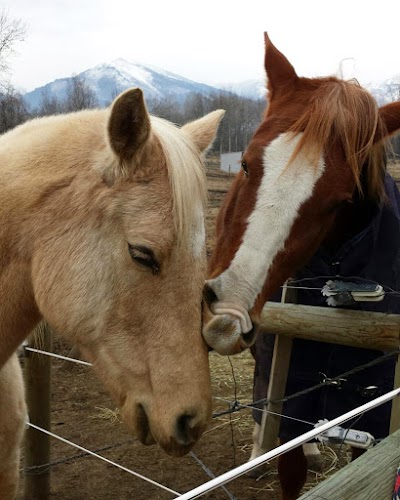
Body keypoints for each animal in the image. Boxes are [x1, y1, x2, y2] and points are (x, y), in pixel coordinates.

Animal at [203, 33, 400, 498]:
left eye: (339, 201)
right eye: (245, 164)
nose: (228, 313)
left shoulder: (371, 407)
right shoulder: (291, 388)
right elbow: (288, 462)